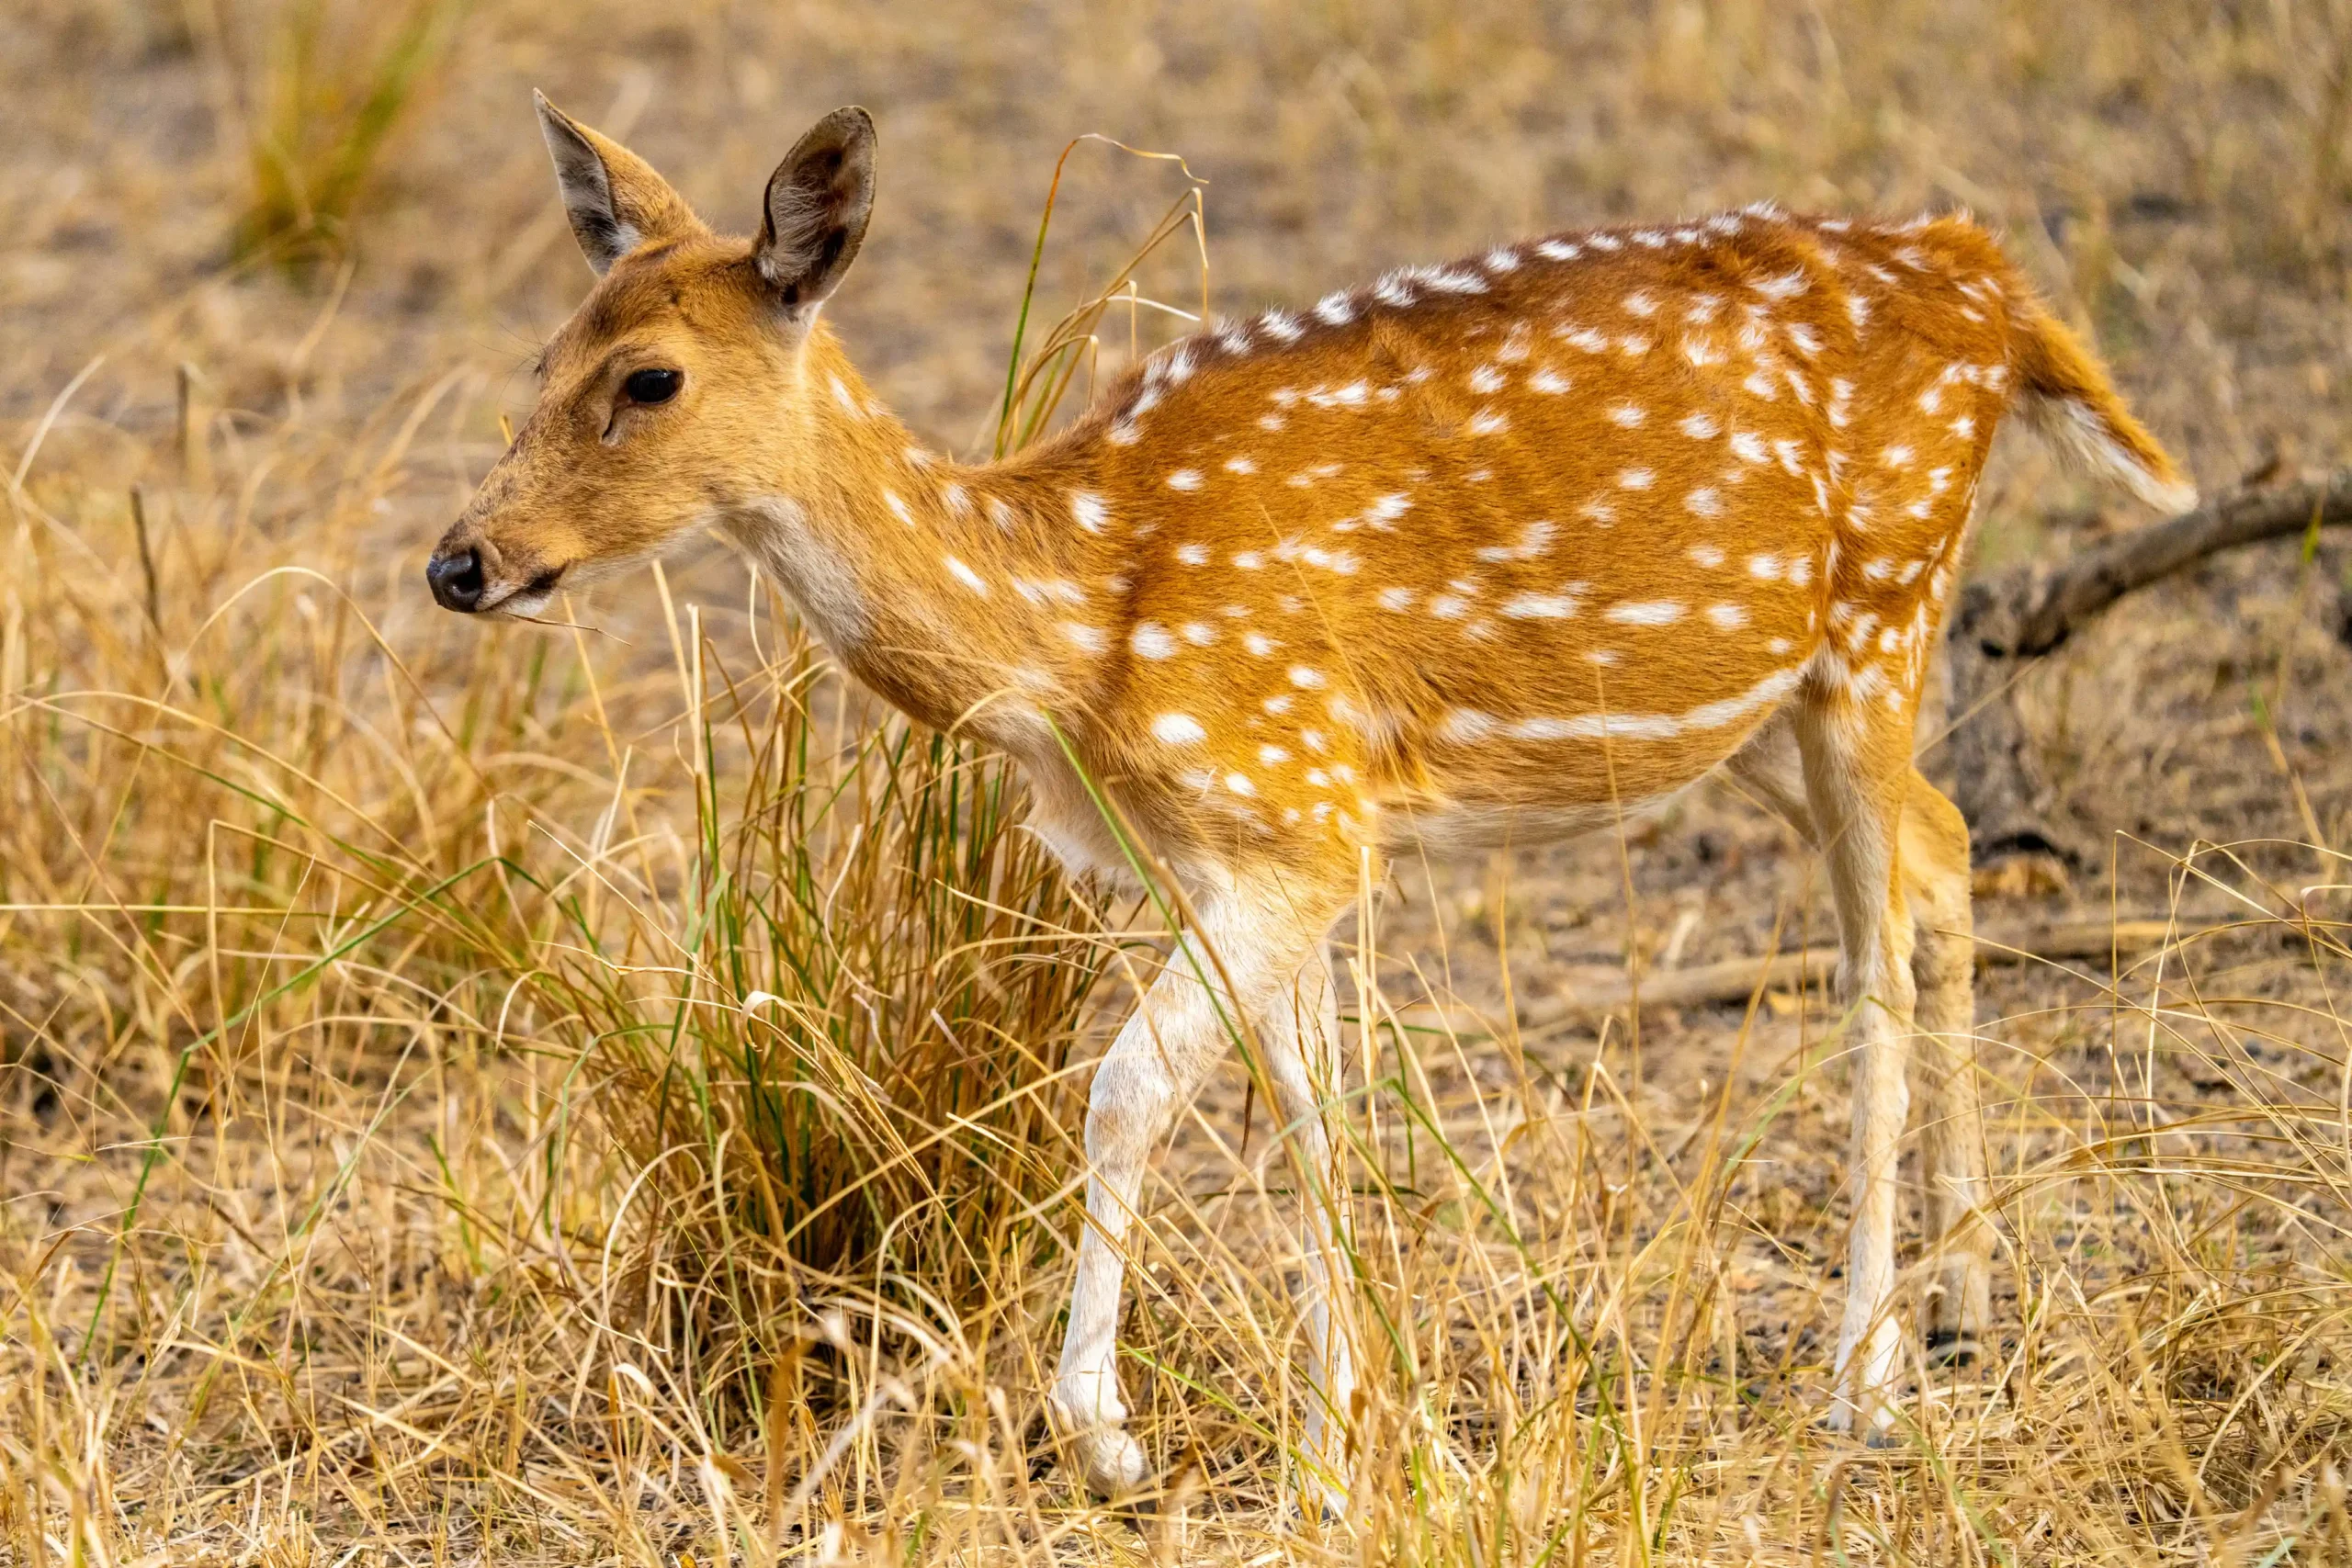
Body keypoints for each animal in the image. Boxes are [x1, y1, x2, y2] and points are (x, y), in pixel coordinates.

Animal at [426, 96, 2195, 1514]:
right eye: (539, 360)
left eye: (650, 377)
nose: (461, 561)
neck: (1078, 622)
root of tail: (1994, 281)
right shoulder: (1257, 842)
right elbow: (1310, 1114)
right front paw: (1353, 1437)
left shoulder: (1297, 808)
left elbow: (1125, 1091)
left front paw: (1107, 1434)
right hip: (1765, 704)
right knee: (1947, 852)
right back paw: (1964, 1294)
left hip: (1885, 609)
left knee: (1872, 962)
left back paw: (1864, 1377)